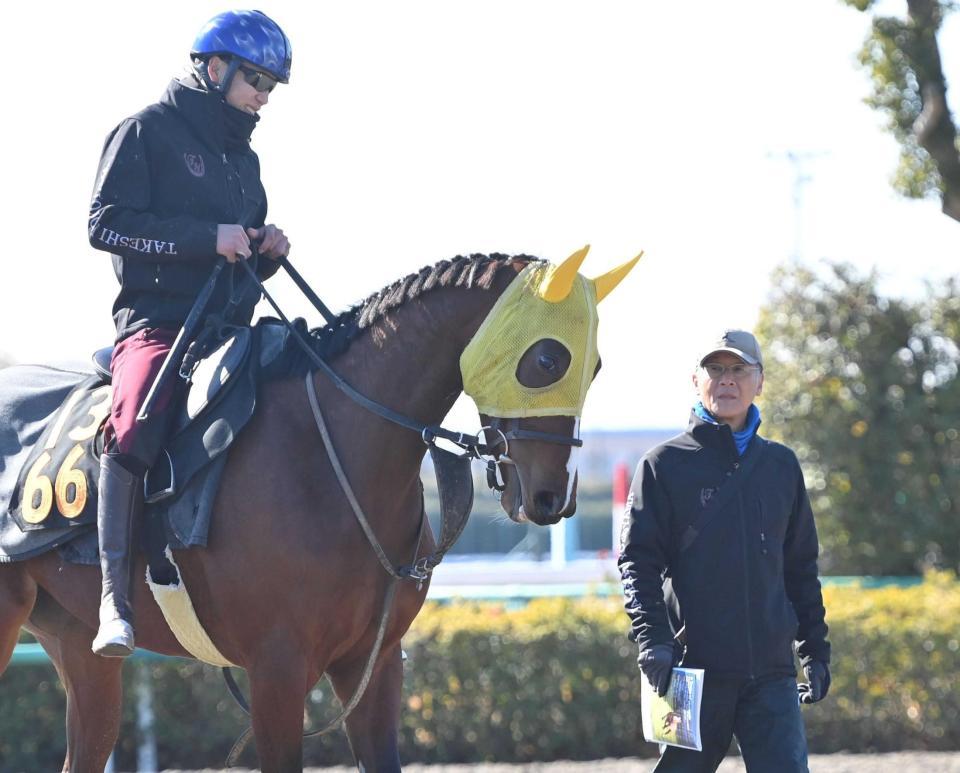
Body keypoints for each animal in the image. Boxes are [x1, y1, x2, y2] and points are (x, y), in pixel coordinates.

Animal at [1, 250, 644, 768]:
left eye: (596, 366)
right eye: (547, 361)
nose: (550, 497)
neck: (329, 449)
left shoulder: (373, 664)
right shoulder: (277, 672)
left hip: (80, 649)